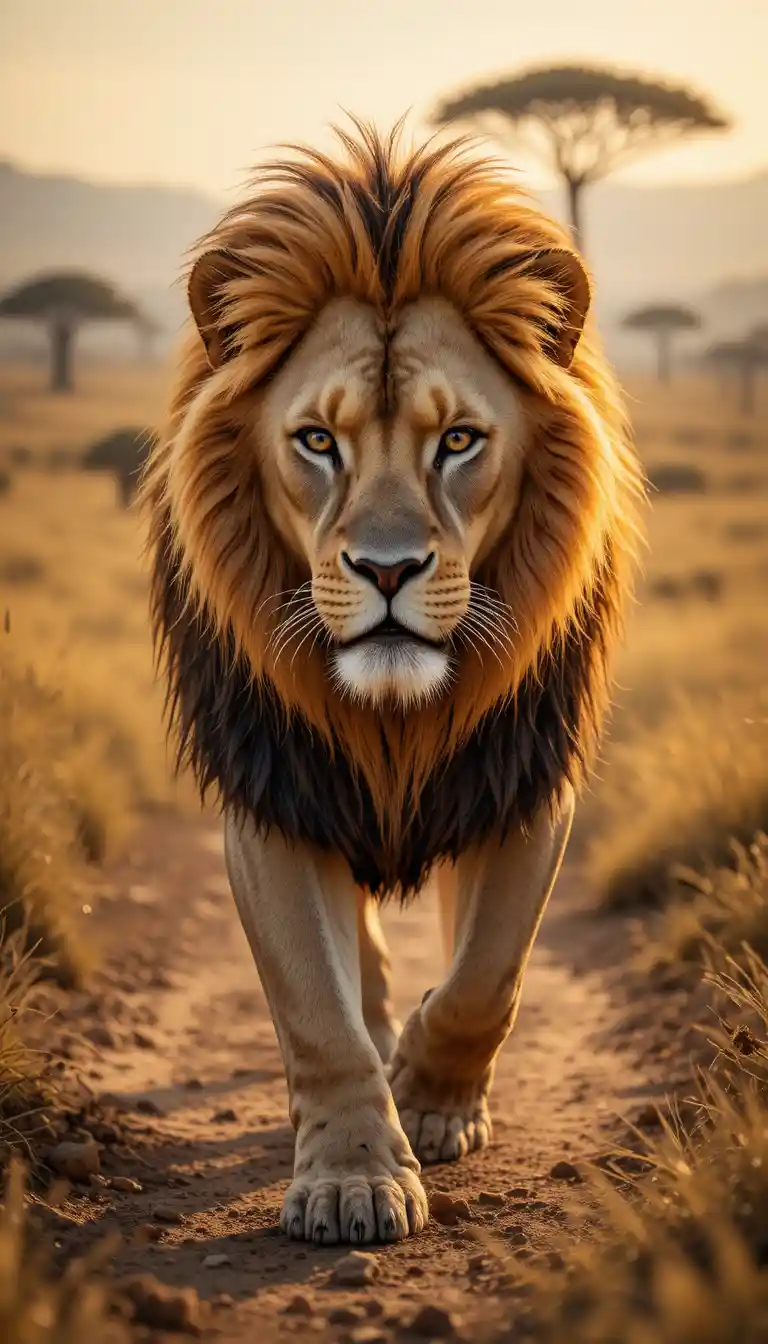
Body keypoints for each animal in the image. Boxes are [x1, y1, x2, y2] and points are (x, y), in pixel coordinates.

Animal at [143, 119, 644, 1246]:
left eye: (457, 440)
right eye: (316, 442)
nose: (384, 570)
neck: (395, 715)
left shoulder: (521, 778)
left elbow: (487, 976)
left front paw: (432, 1096)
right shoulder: (275, 792)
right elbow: (317, 1012)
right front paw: (352, 1178)